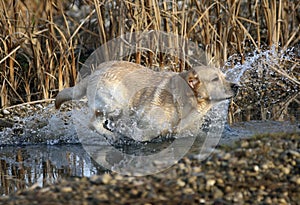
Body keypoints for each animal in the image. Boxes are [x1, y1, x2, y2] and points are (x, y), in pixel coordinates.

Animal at [55, 60, 236, 141]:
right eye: (215, 79)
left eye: (224, 77)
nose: (237, 86)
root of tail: (96, 71)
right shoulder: (148, 126)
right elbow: (143, 135)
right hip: (116, 104)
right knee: (92, 122)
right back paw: (112, 135)